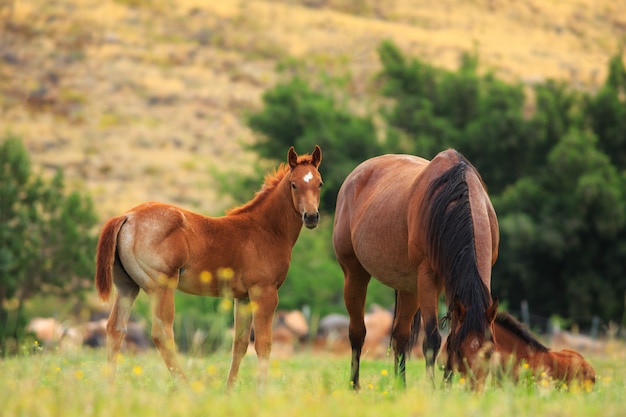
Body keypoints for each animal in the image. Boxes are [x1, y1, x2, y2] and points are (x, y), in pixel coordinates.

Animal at [96, 145, 326, 388]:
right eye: (294, 184)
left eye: (319, 183)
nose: (311, 217)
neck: (265, 229)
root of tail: (127, 216)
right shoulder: (264, 292)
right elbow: (263, 344)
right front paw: (262, 390)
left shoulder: (242, 298)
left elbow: (240, 345)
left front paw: (229, 390)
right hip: (162, 287)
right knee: (162, 334)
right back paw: (186, 386)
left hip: (127, 286)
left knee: (115, 329)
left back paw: (110, 386)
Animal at [332, 148, 498, 388]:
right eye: (461, 353)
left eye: (489, 352)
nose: (473, 389)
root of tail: (354, 177)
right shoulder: (428, 278)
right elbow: (432, 340)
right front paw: (433, 388)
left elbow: (450, 334)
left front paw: (446, 387)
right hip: (355, 274)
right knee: (357, 332)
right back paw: (355, 386)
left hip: (409, 288)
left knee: (400, 336)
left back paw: (401, 387)